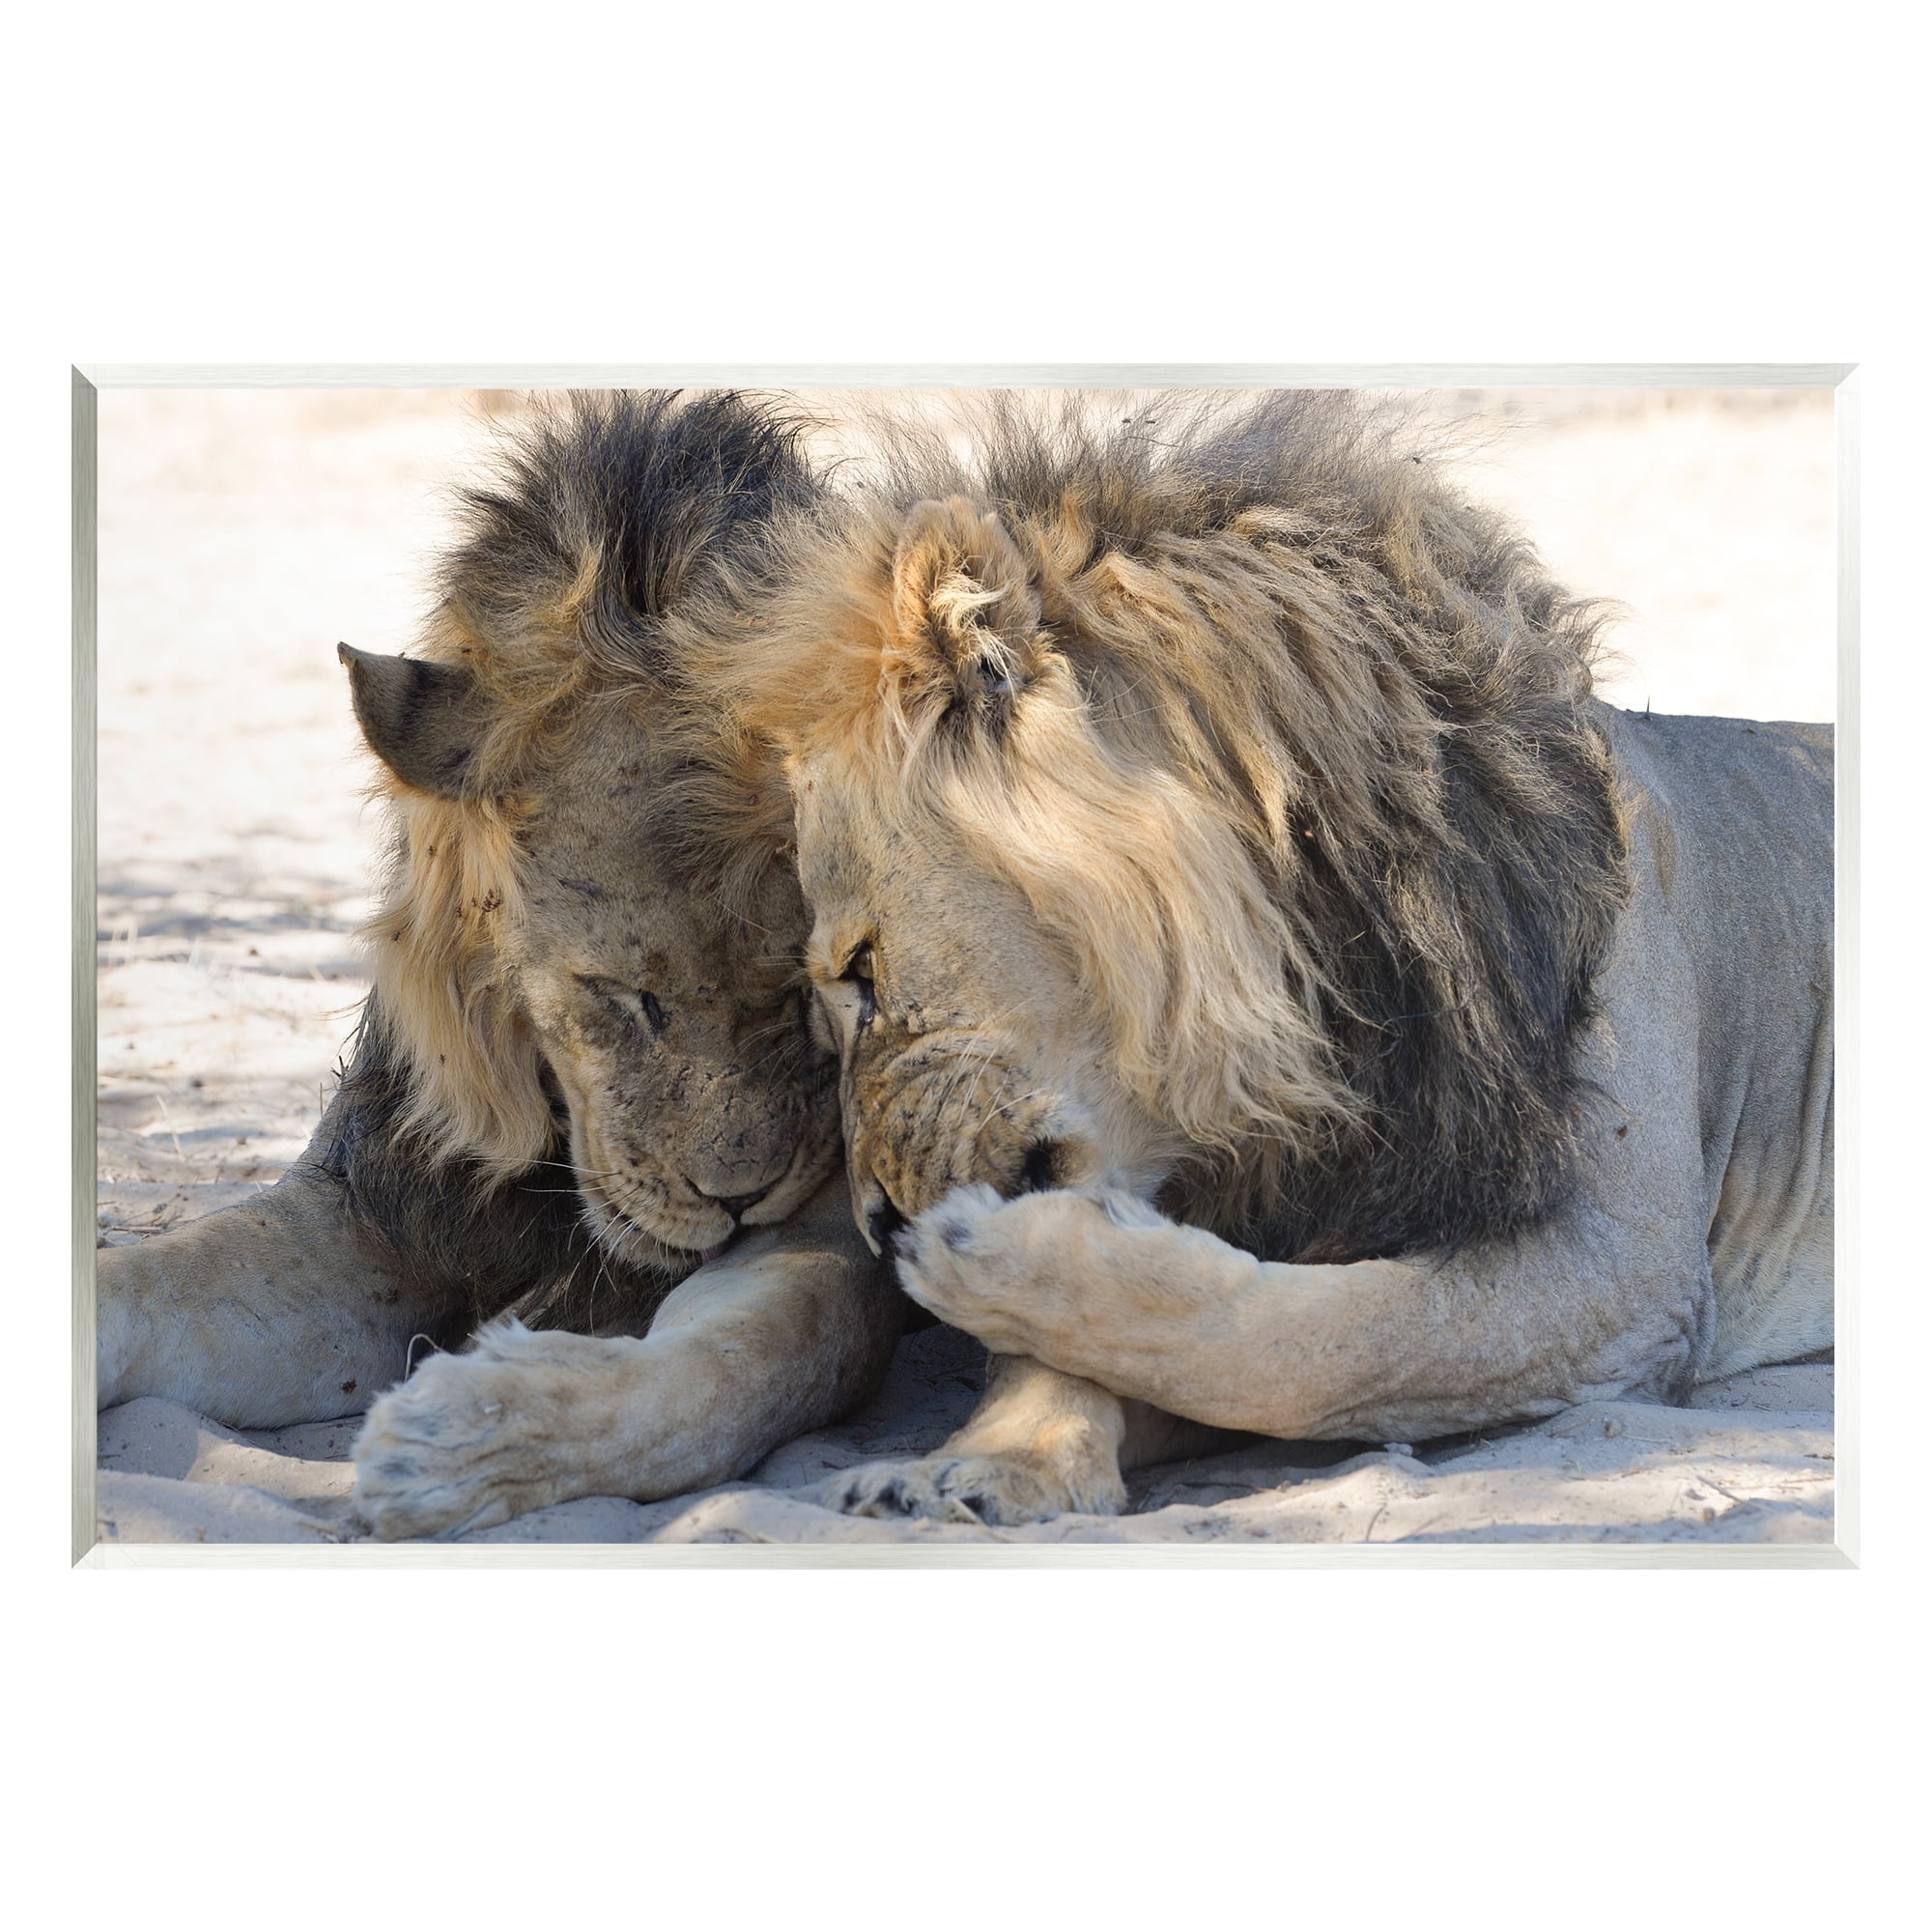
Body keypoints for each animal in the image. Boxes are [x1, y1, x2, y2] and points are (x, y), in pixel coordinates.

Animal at [97, 390, 905, 1540]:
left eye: (808, 993)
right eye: (621, 996)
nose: (737, 1199)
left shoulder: (832, 1233)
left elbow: (757, 1353)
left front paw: (467, 1438)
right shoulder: (372, 1205)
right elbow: (145, 1275)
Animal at [688, 390, 1834, 1527]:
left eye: (861, 969)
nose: (878, 1226)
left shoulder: (1629, 1273)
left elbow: (1312, 1344)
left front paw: (990, 1265)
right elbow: (1118, 1353)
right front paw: (994, 1460)